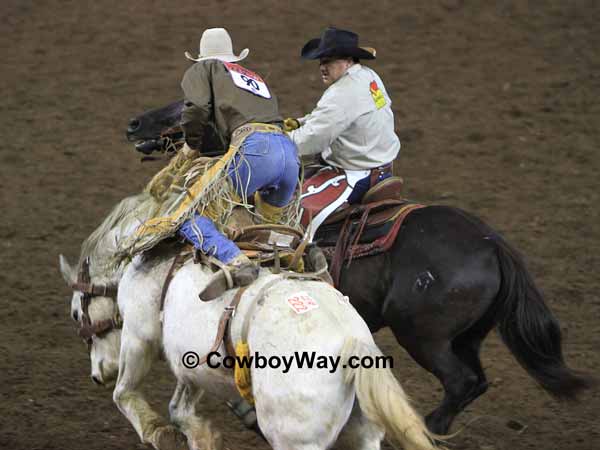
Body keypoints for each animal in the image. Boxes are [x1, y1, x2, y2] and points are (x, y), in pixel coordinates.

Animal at [61, 194, 442, 450]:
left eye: (77, 313)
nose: (97, 374)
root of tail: (353, 346)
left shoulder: (140, 335)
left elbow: (124, 394)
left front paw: (159, 433)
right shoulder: (194, 365)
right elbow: (180, 408)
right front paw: (202, 436)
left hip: (296, 441)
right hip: (362, 432)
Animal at [125, 100, 592, 434]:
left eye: (184, 105)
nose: (133, 124)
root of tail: (494, 245)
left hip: (423, 336)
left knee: (461, 382)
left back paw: (425, 427)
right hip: (466, 337)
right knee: (475, 382)